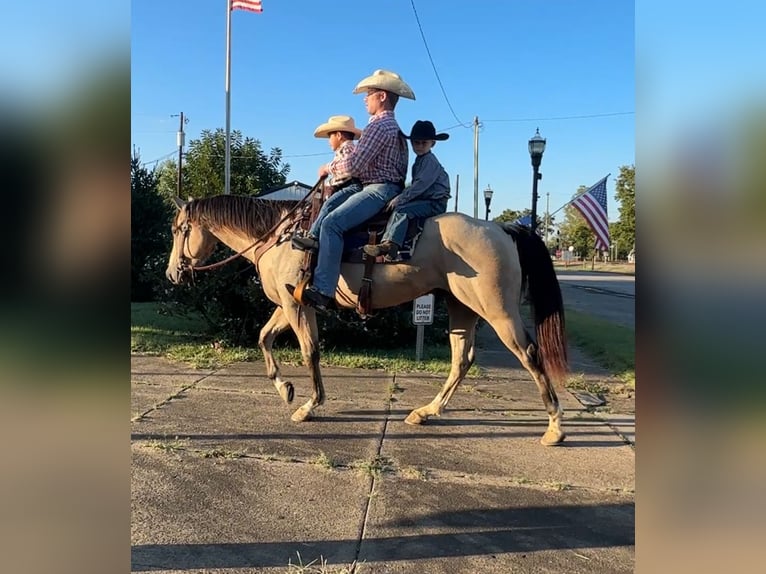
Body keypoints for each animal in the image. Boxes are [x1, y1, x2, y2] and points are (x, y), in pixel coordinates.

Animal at [165, 193, 569, 445]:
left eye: (179, 229)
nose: (172, 273)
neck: (280, 238)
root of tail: (502, 229)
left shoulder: (299, 306)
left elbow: (310, 351)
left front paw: (309, 405)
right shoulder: (287, 304)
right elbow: (264, 338)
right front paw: (285, 388)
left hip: (497, 311)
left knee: (529, 354)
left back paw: (554, 427)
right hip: (462, 308)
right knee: (461, 359)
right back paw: (426, 412)